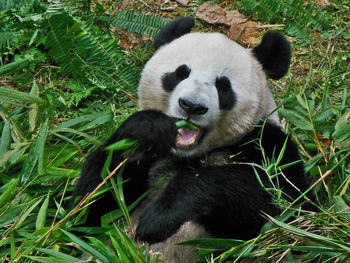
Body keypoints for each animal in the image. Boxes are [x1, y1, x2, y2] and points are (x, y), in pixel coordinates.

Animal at [72, 17, 314, 262]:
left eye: (223, 85)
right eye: (180, 73)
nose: (191, 106)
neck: (189, 156)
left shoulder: (267, 144)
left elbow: (286, 210)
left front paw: (158, 219)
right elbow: (86, 211)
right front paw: (147, 128)